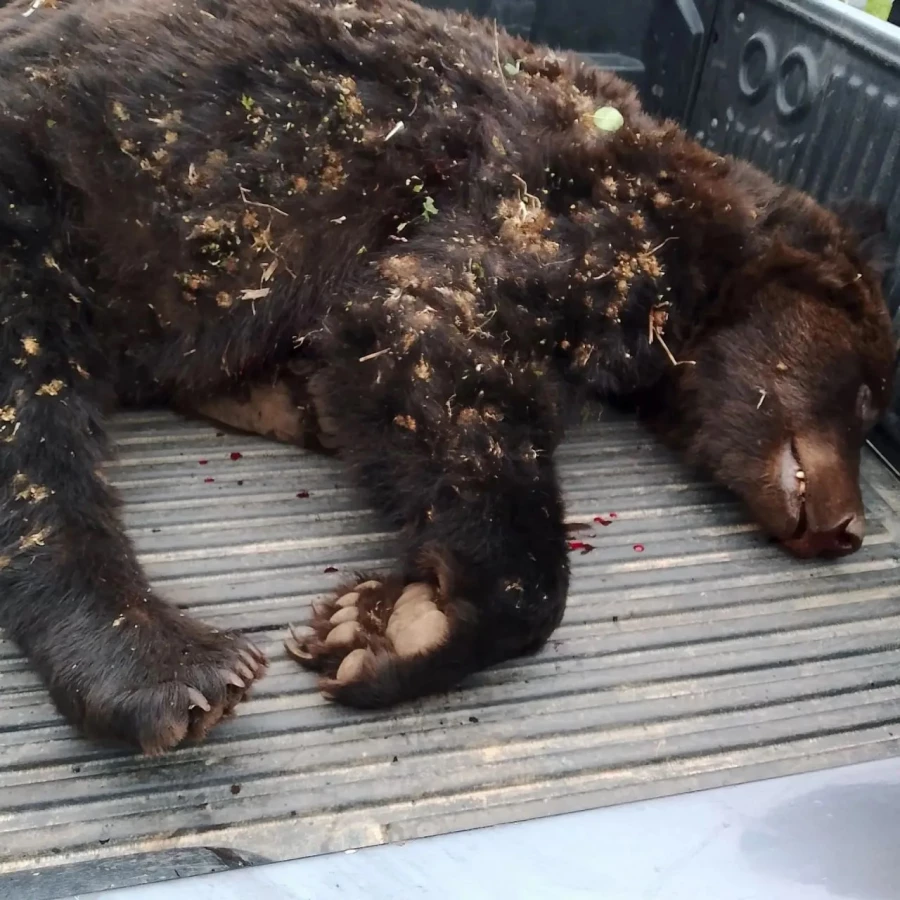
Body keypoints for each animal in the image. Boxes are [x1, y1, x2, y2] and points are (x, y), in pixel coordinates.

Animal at [0, 0, 893, 754]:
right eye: (865, 395)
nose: (850, 528)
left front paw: (374, 610)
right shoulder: (576, 208)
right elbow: (431, 328)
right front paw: (399, 625)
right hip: (43, 197)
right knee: (35, 434)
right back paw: (164, 666)